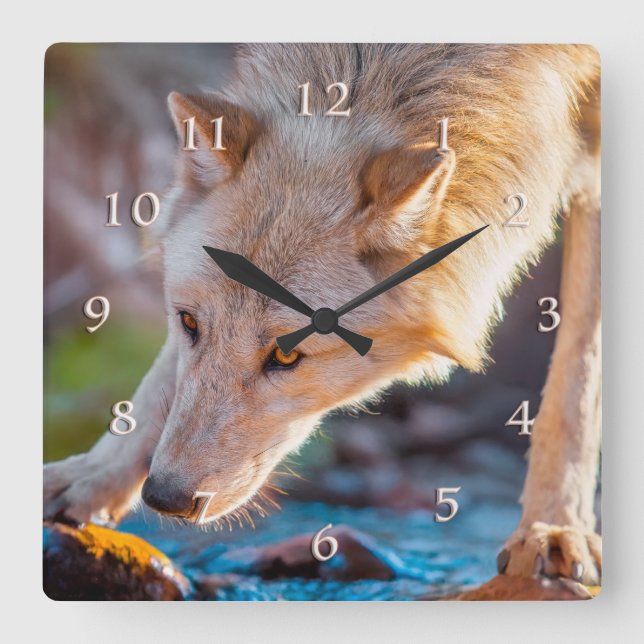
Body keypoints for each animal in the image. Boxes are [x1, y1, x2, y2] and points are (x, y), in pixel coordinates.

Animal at [44, 44, 601, 585]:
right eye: (189, 324)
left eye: (288, 356)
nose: (165, 497)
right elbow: (161, 379)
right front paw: (94, 477)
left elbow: (575, 378)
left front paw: (553, 527)